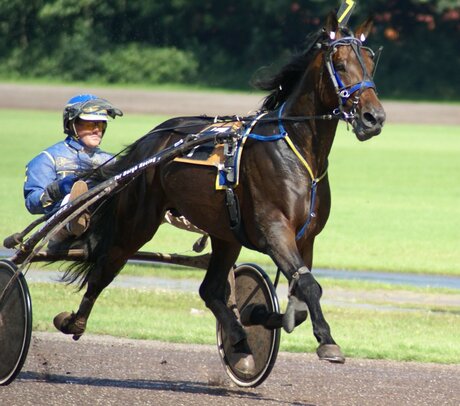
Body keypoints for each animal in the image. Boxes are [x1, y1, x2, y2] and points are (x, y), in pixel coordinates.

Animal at [53, 12, 384, 374]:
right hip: (137, 222)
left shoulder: (306, 237)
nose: (374, 117)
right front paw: (327, 342)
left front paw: (264, 314)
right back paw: (73, 321)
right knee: (104, 268)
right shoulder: (275, 229)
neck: (297, 149)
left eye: (371, 63)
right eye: (339, 64)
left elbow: (300, 294)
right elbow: (309, 285)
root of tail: (152, 139)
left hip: (226, 233)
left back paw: (239, 340)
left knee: (209, 290)